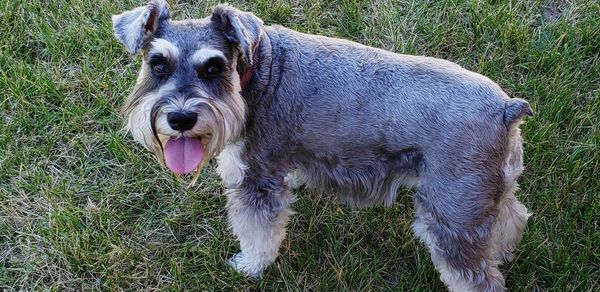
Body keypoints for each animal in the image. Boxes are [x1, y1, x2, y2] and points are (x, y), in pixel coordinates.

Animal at [113, 1, 536, 290]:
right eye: (158, 63)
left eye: (214, 67)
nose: (181, 118)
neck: (256, 70)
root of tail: (505, 108)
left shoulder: (255, 180)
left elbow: (258, 232)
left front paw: (250, 266)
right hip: (484, 195)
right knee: (512, 217)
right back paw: (504, 250)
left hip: (452, 215)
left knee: (476, 276)